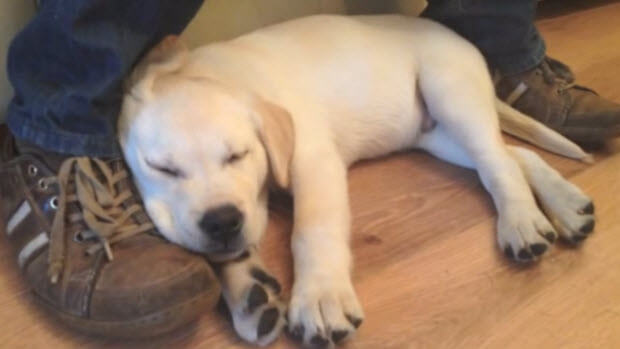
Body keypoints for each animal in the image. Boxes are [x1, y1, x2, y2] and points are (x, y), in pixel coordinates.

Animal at [117, 14, 596, 346]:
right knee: (510, 155)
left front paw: (320, 298)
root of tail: (460, 39)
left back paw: (523, 221)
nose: (221, 221)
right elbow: (221, 250)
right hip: (434, 134)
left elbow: (312, 231)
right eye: (162, 168)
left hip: (450, 91)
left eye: (239, 154)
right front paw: (250, 294)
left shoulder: (313, 160)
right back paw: (568, 205)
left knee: (499, 164)